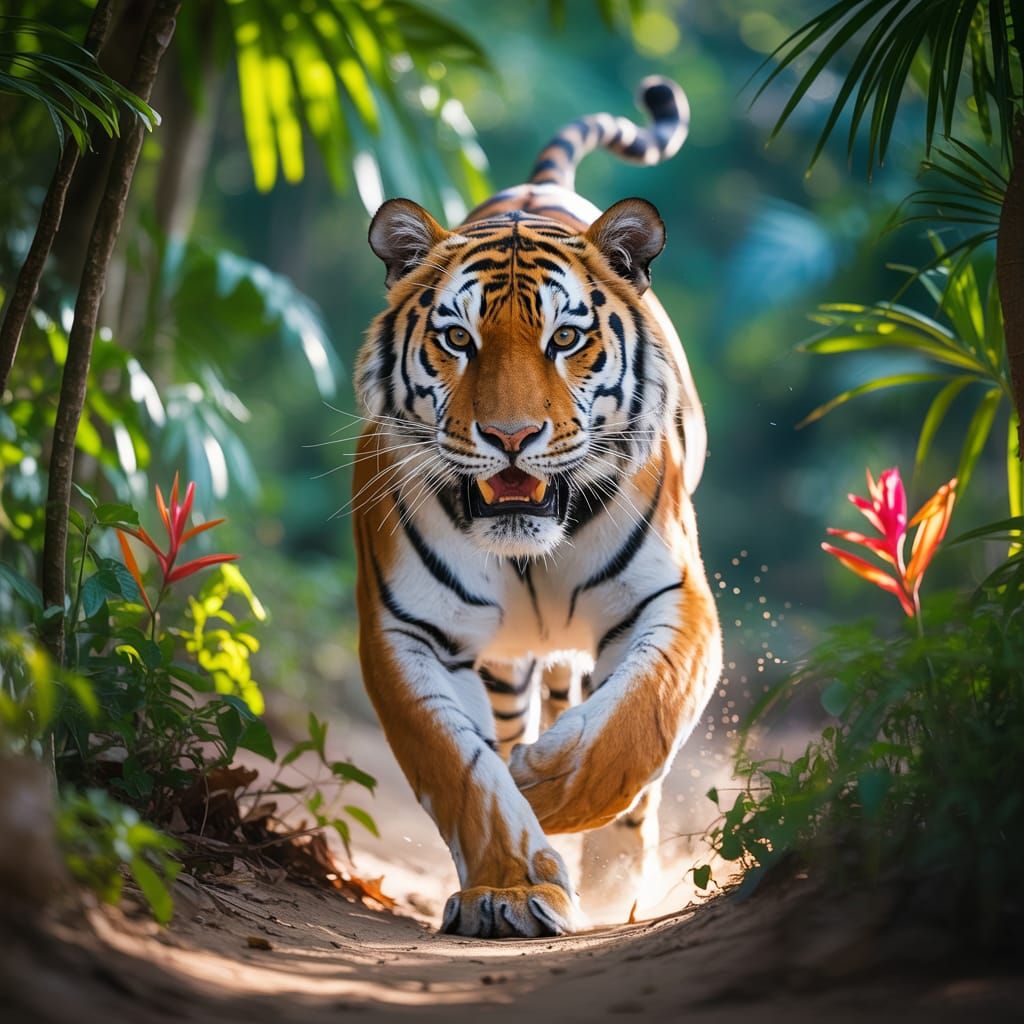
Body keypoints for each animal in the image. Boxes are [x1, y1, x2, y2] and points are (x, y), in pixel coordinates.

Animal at [351, 77, 722, 939]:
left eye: (566, 339)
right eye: (457, 339)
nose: (512, 436)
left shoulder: (672, 598)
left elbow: (637, 724)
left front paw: (545, 792)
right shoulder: (404, 629)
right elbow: (461, 767)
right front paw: (512, 889)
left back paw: (616, 881)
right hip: (504, 662)